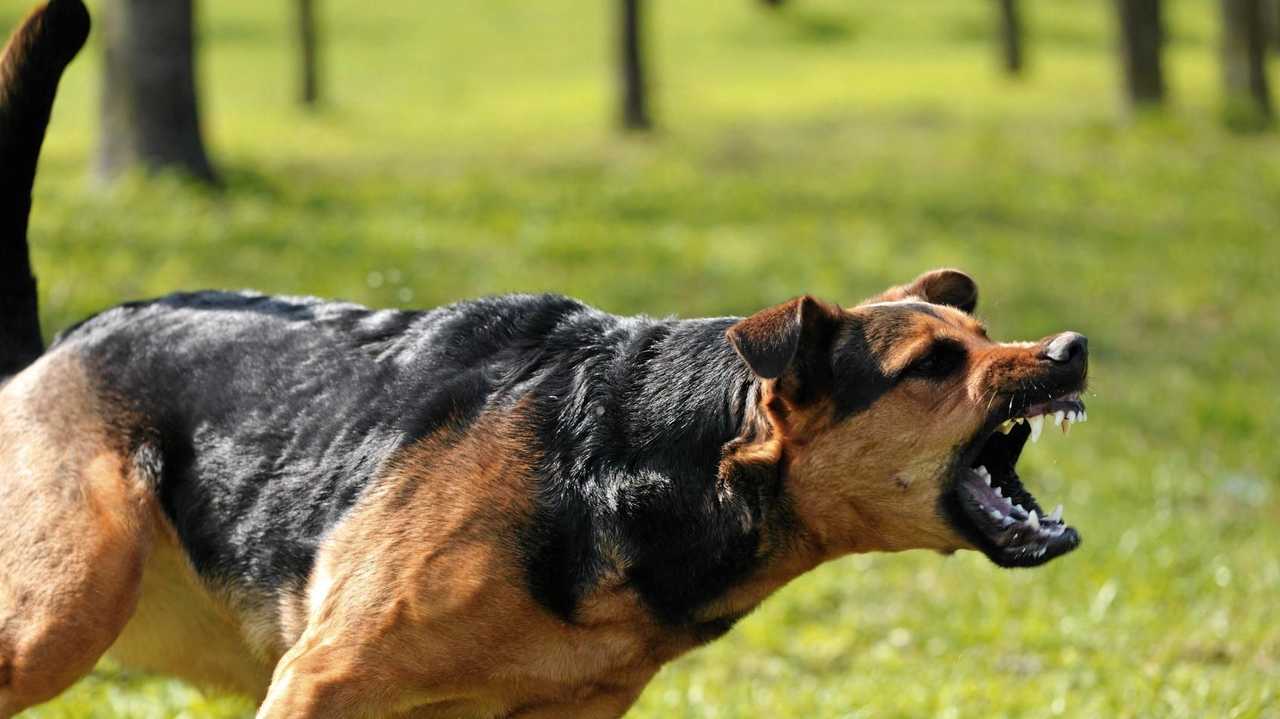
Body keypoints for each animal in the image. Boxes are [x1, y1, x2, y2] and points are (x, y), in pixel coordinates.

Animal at [0, 2, 1090, 711]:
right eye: (933, 364)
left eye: (984, 337)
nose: (1072, 349)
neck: (641, 464)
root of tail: (48, 352)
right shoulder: (319, 678)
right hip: (63, 609)